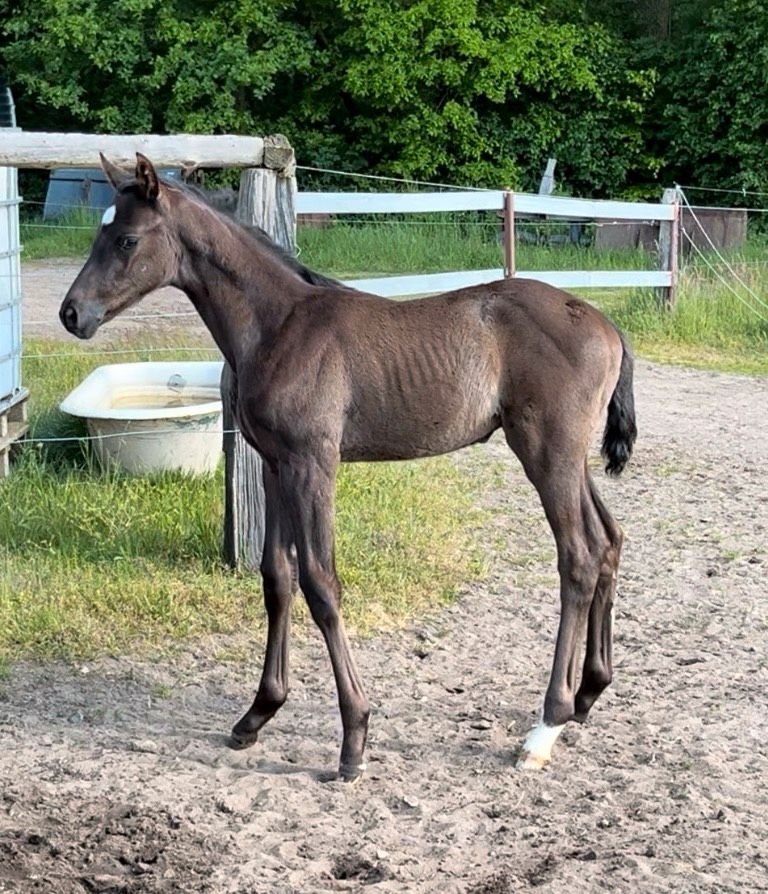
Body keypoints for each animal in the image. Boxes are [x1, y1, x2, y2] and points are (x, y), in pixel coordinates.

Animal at [60, 156, 636, 784]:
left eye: (126, 239)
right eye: (98, 234)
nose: (72, 314)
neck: (278, 326)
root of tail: (609, 326)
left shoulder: (314, 463)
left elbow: (321, 583)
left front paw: (353, 738)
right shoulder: (274, 464)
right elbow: (276, 576)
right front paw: (258, 713)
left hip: (546, 451)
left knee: (578, 556)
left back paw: (545, 726)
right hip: (569, 458)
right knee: (609, 539)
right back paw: (587, 694)